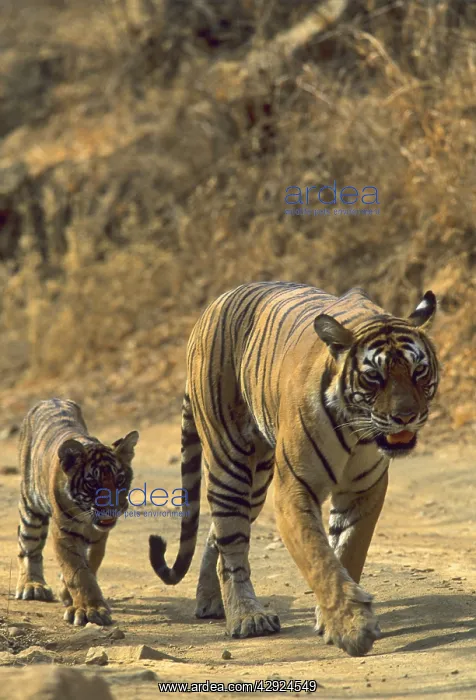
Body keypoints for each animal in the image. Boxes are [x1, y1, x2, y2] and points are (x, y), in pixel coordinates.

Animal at [16, 398, 139, 626]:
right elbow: (78, 572)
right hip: (31, 509)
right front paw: (90, 610)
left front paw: (69, 594)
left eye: (120, 479)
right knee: (28, 548)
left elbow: (89, 565)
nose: (112, 508)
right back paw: (32, 585)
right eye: (93, 483)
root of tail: (50, 399)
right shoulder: (64, 533)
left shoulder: (98, 537)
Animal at [149, 281, 439, 657]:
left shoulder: (364, 490)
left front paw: (333, 620)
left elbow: (348, 551)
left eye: (418, 371)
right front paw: (352, 628)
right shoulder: (293, 490)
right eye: (374, 377)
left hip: (257, 480)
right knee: (231, 544)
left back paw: (210, 601)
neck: (356, 432)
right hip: (231, 462)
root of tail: (212, 307)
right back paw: (247, 617)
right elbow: (319, 558)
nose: (405, 417)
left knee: (218, 535)